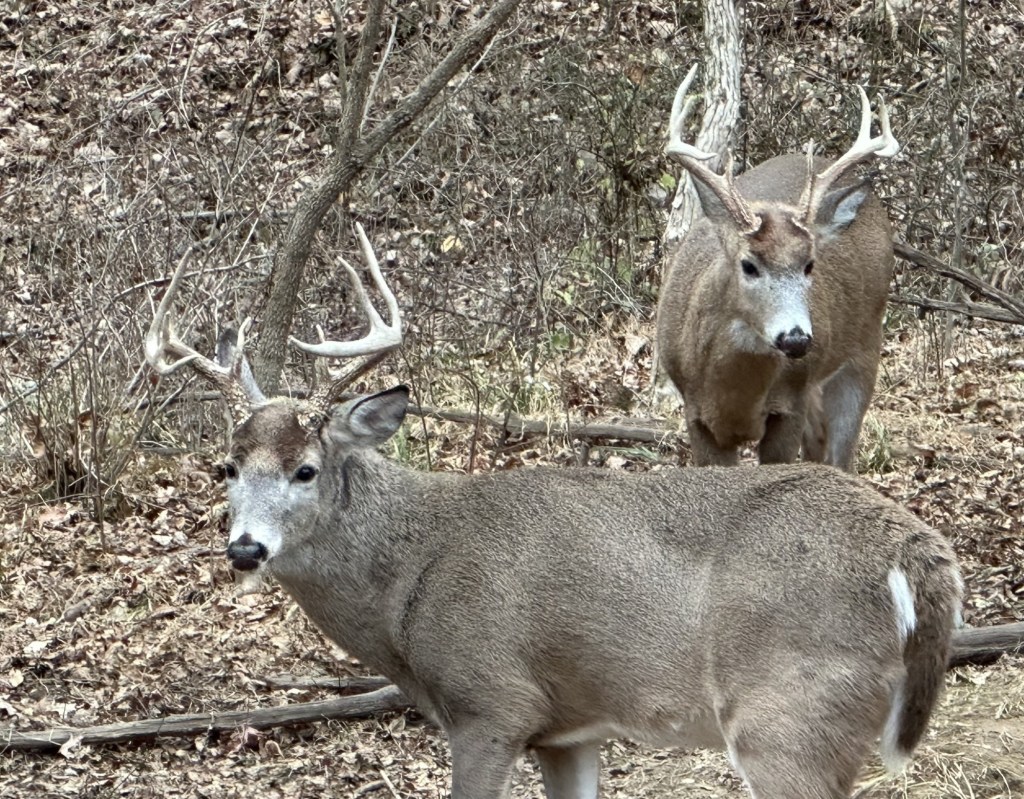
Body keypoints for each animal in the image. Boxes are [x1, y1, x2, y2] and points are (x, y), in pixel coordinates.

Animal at [145, 225, 961, 799]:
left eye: (305, 469)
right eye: (226, 466)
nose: (245, 548)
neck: (408, 578)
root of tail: (919, 552)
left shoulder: (491, 702)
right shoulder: (568, 728)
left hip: (789, 714)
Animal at [657, 66, 899, 471]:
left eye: (809, 264)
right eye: (748, 265)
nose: (796, 338)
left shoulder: (789, 406)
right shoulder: (696, 415)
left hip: (864, 349)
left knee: (840, 455)